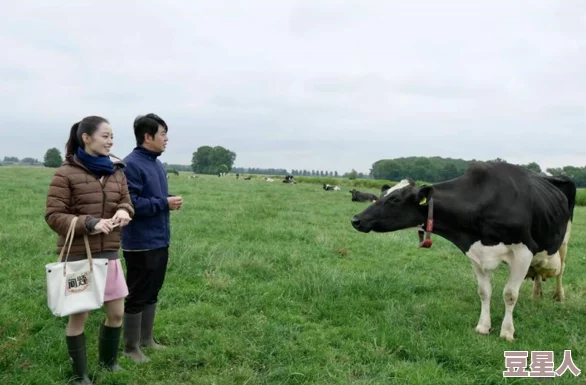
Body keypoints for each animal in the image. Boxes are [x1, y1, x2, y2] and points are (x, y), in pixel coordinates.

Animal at [350, 160, 572, 340]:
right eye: (382, 195)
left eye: (394, 199)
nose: (356, 219)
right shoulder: (475, 253)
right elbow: (484, 292)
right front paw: (483, 326)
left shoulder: (523, 252)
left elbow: (510, 294)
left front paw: (507, 332)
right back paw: (537, 294)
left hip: (564, 241)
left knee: (561, 271)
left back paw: (559, 296)